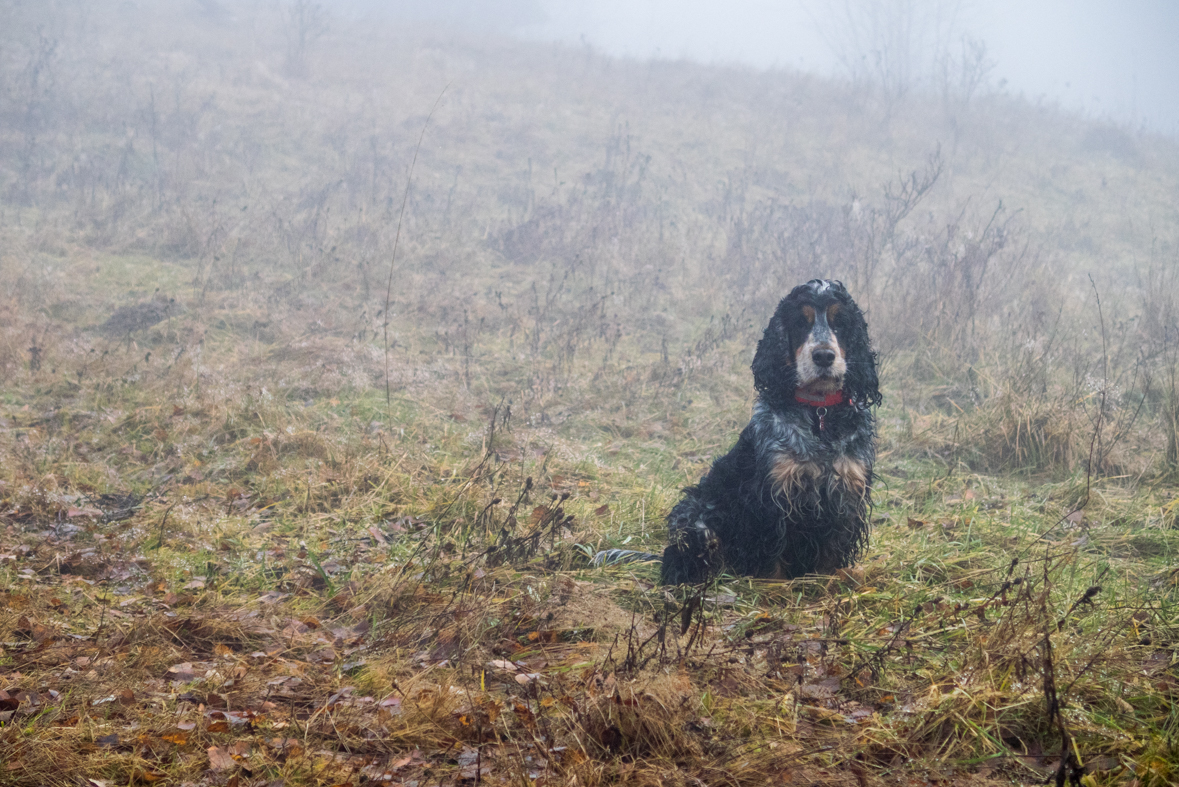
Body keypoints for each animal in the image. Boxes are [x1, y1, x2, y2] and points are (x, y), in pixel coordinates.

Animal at [660, 278, 881, 584]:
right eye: (800, 323)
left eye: (841, 323)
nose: (824, 356)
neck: (819, 414)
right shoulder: (772, 495)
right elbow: (772, 551)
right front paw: (773, 587)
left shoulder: (845, 492)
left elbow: (831, 553)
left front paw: (827, 582)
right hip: (695, 517)